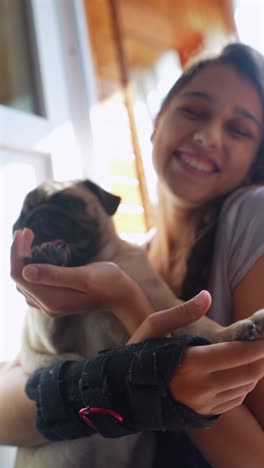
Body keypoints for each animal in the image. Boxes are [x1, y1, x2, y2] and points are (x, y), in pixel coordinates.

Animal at [13, 179, 264, 468]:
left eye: (70, 203)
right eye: (21, 217)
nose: (36, 219)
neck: (92, 260)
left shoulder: (162, 301)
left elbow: (206, 326)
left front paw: (237, 328)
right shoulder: (46, 334)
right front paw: (46, 255)